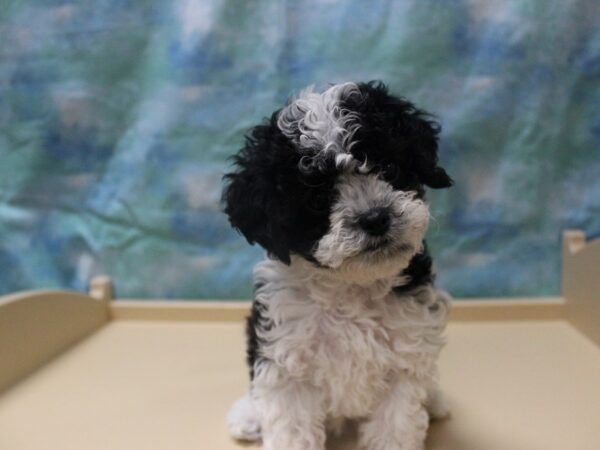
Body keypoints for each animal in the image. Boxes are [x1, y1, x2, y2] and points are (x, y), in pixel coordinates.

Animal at [223, 81, 452, 450]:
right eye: (318, 199)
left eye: (389, 169)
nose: (375, 218)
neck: (350, 287)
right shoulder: (287, 363)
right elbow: (291, 428)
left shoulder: (405, 361)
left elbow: (395, 428)